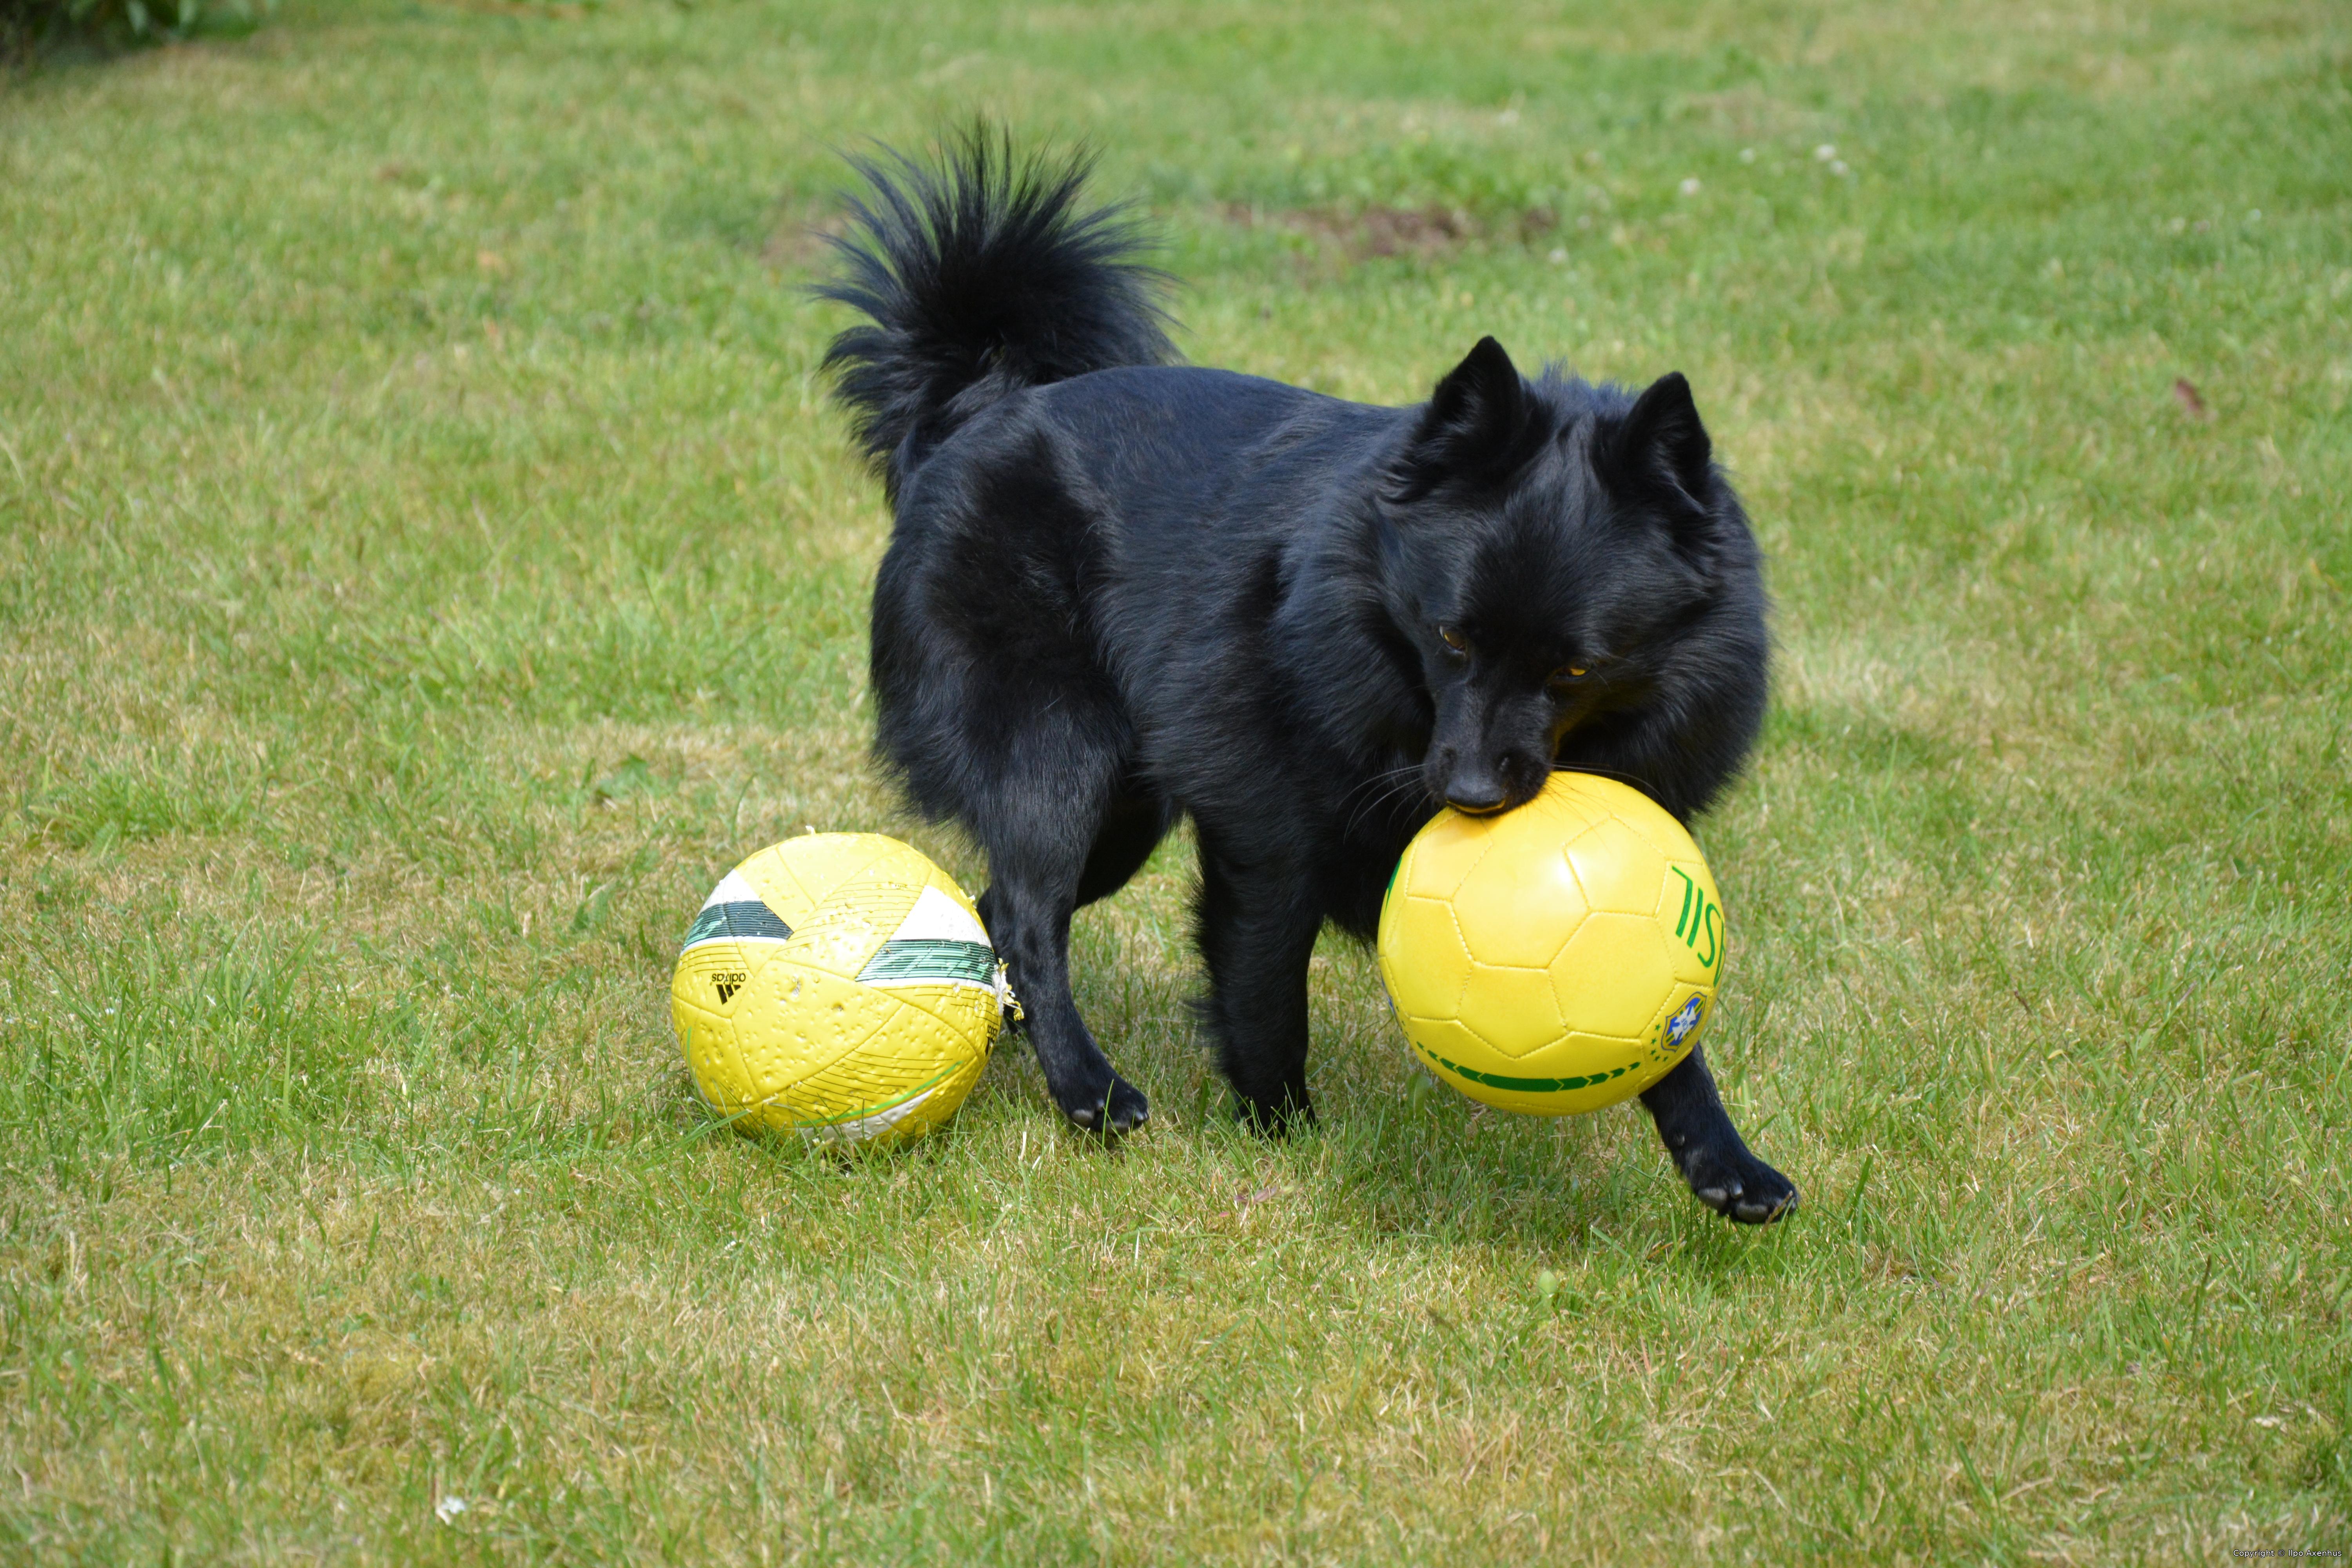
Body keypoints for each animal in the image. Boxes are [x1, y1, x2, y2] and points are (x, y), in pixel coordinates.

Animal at [816, 131, 1797, 1224]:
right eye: (1451, 636)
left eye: (1577, 666)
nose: (1466, 792)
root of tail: (970, 416)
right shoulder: (1268, 835)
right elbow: (1265, 989)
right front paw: (1281, 1131)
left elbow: (1671, 1028)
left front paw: (1724, 1158)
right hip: (1057, 755)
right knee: (1029, 917)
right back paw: (1088, 1088)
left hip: (1124, 814)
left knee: (996, 909)